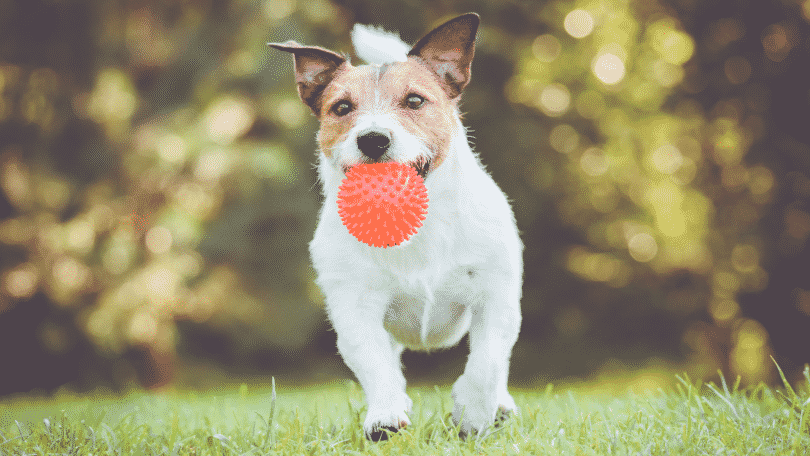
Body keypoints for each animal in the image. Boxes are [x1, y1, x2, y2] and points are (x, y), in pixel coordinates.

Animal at [270, 13, 524, 442]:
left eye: (415, 101)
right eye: (341, 107)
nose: (373, 139)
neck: (410, 224)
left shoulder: (497, 296)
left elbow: (488, 361)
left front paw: (473, 414)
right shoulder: (355, 306)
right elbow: (374, 362)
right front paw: (386, 416)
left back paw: (500, 407)